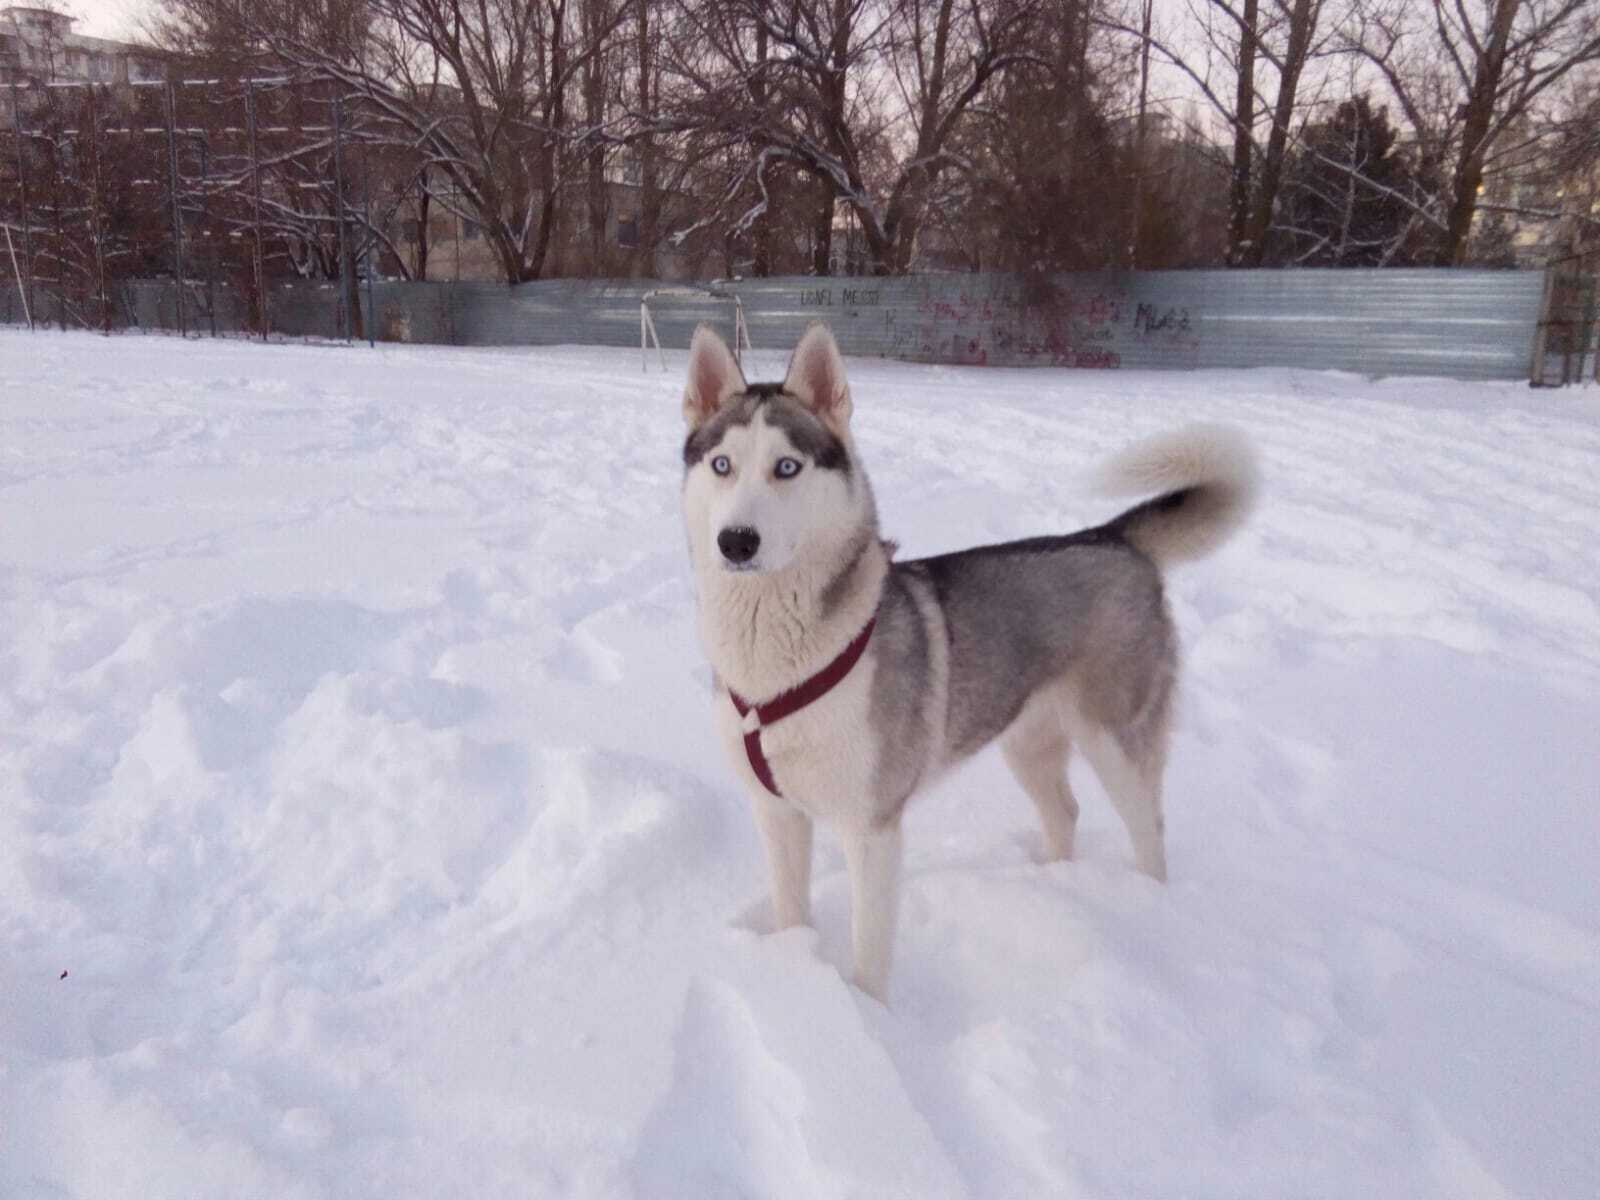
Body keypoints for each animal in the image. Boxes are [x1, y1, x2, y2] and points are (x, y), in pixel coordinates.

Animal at [681, 321, 1254, 1004]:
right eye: (722, 465)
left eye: (786, 467)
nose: (736, 542)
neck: (775, 666)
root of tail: (1113, 537)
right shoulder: (777, 812)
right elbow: (792, 909)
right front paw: (792, 973)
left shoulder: (872, 827)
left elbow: (870, 951)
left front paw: (868, 1015)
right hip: (1027, 744)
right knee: (1066, 812)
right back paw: (1052, 886)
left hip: (1116, 742)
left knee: (1150, 831)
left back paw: (1150, 908)